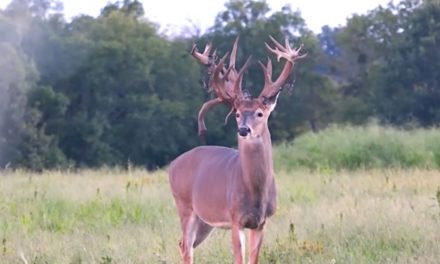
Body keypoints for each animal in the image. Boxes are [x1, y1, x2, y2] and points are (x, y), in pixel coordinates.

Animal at [168, 35, 306, 264]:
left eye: (260, 113)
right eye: (237, 114)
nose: (243, 129)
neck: (255, 191)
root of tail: (172, 165)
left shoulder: (260, 222)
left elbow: (253, 259)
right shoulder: (235, 219)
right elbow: (239, 259)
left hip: (205, 221)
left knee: (183, 244)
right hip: (184, 205)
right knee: (186, 246)